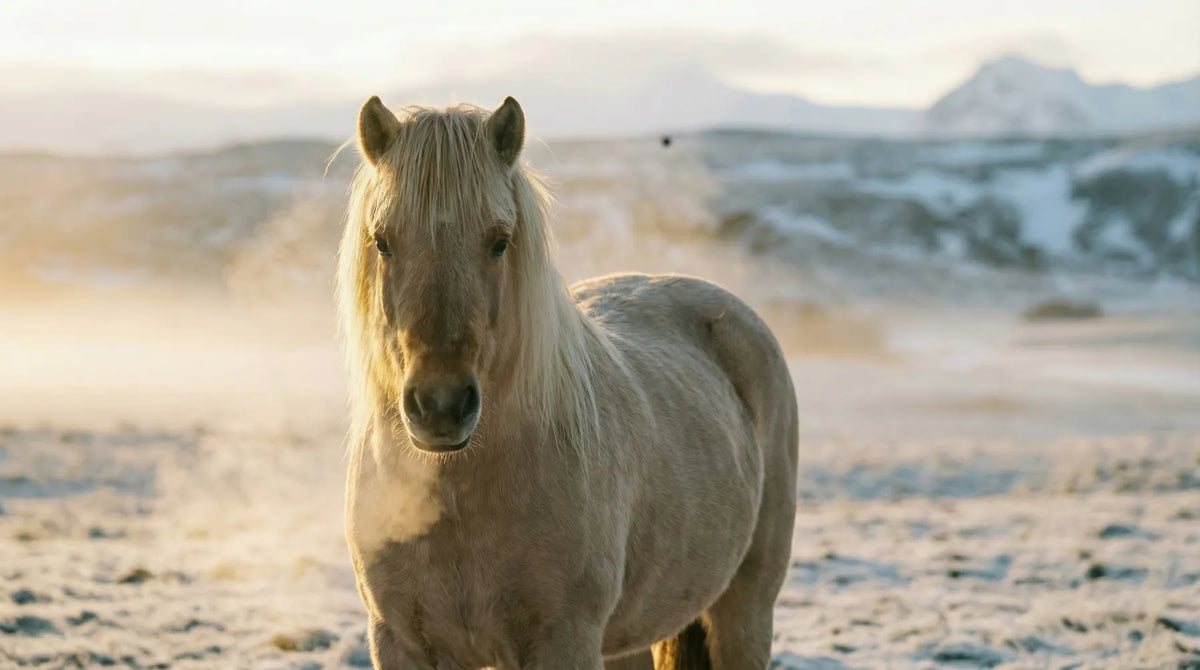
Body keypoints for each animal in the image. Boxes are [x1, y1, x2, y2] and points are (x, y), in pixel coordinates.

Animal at [337, 95, 798, 670]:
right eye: (382, 241)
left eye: (500, 241)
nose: (441, 405)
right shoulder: (400, 641)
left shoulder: (565, 641)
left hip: (746, 611)